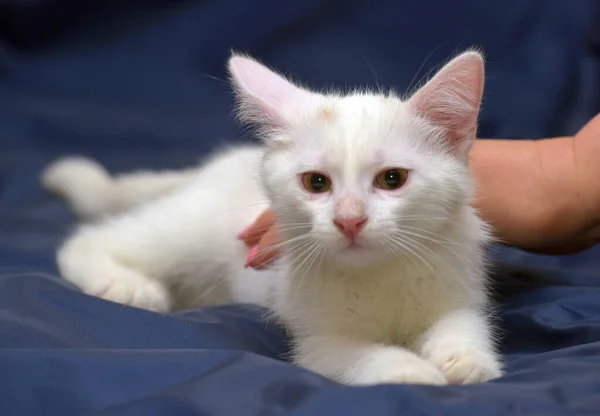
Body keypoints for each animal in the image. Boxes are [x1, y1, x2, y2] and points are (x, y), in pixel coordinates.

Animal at [41, 51, 502, 386]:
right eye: (316, 183)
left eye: (393, 179)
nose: (349, 220)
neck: (380, 273)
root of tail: (214, 165)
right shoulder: (319, 337)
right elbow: (355, 355)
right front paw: (410, 371)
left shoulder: (457, 286)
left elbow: (463, 324)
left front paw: (462, 360)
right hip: (190, 232)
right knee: (94, 239)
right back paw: (126, 284)